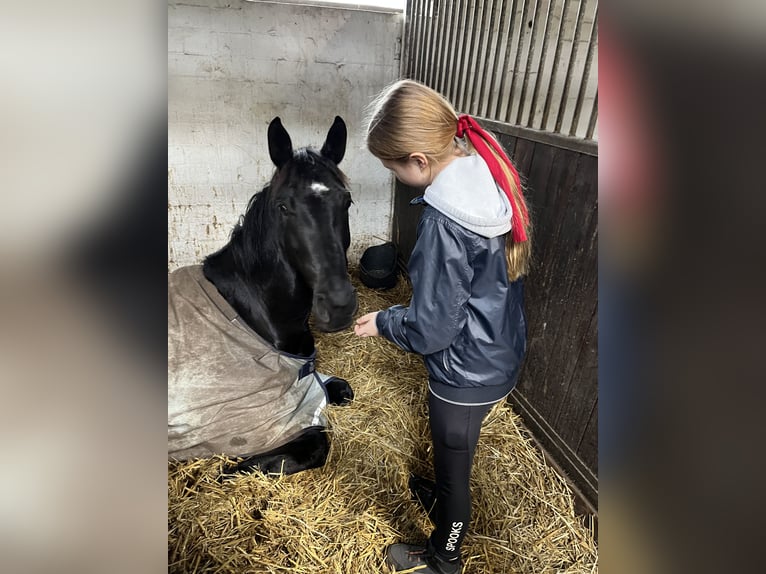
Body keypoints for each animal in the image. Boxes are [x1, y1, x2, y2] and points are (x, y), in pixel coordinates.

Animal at [167, 116, 356, 476]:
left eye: (347, 201)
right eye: (283, 207)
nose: (338, 306)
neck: (255, 313)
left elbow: (342, 388)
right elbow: (316, 444)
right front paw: (229, 471)